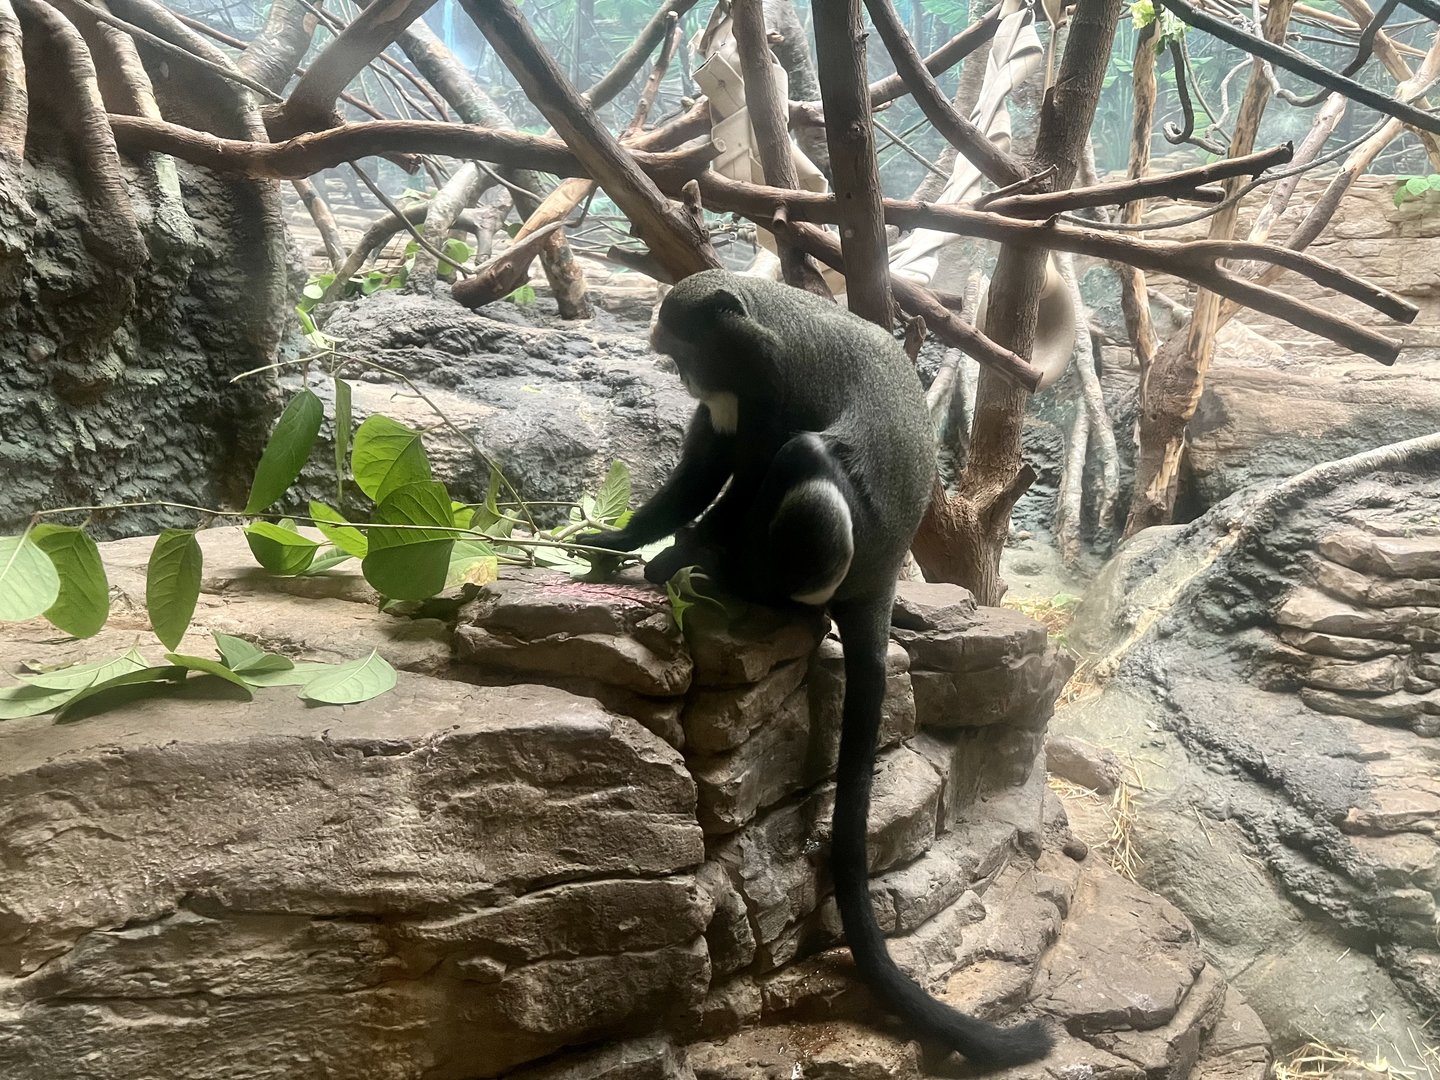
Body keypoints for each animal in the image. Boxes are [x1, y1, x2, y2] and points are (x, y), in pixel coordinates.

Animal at [586, 269, 1052, 1069]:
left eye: (686, 352)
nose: (688, 379)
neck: (759, 314)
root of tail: (883, 578)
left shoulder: (765, 379)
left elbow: (750, 473)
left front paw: (681, 555)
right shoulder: (729, 406)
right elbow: (706, 464)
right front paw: (620, 538)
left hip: (836, 547)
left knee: (804, 463)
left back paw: (744, 580)